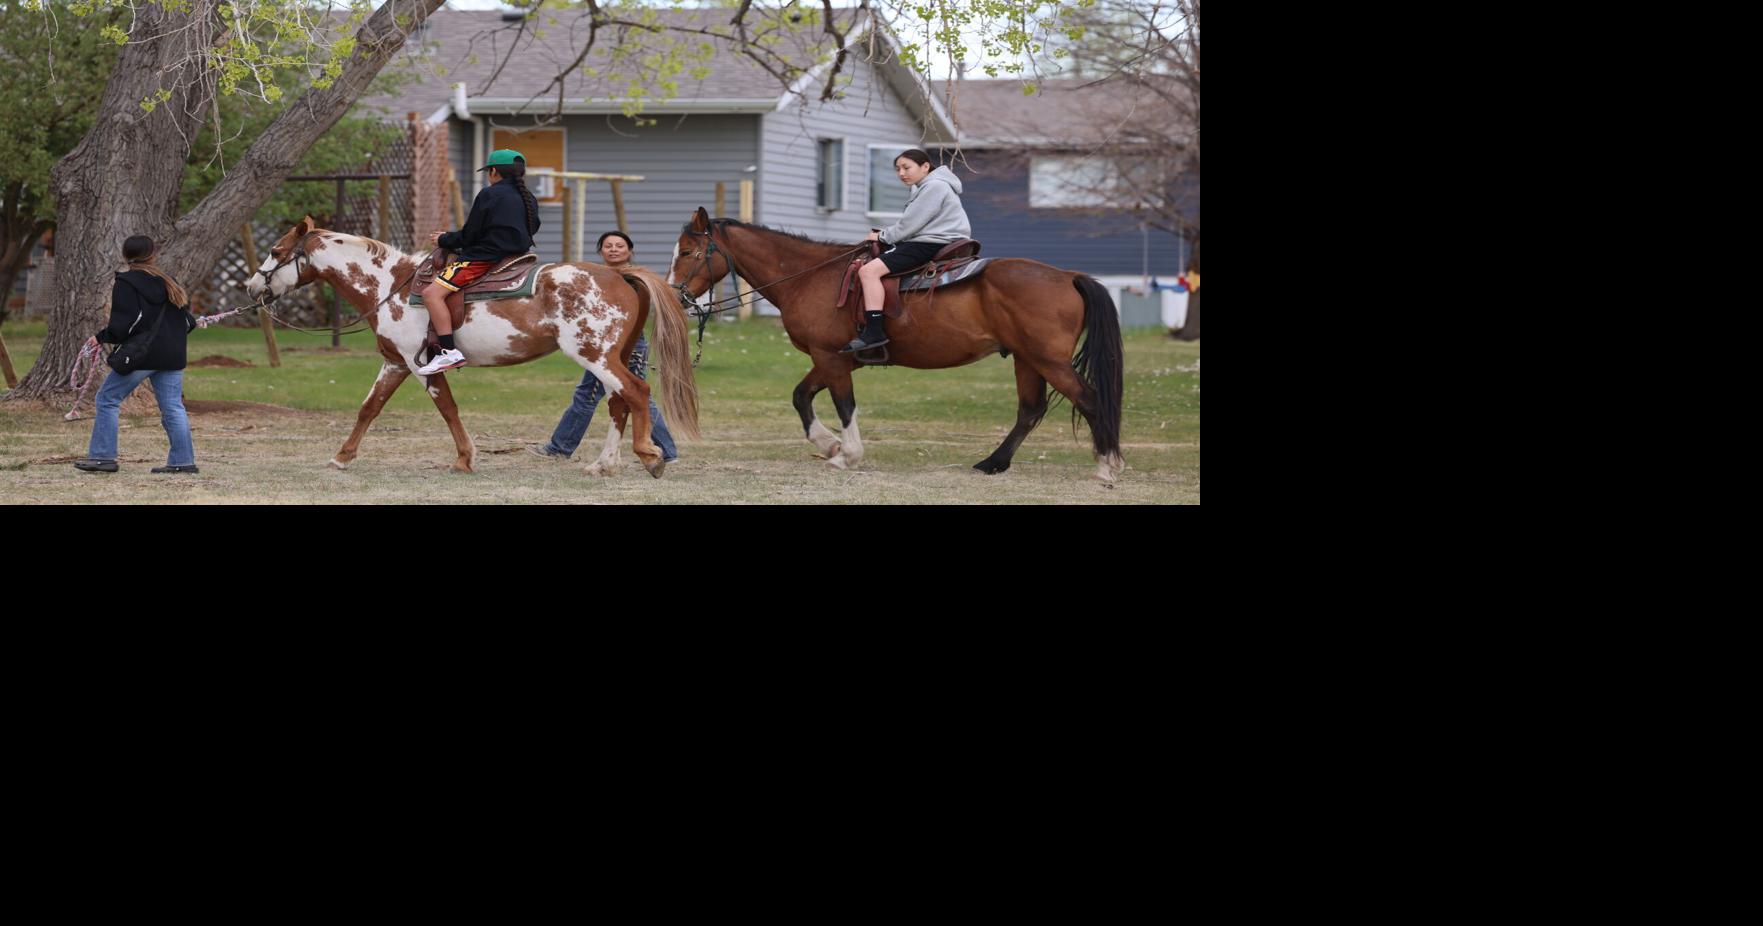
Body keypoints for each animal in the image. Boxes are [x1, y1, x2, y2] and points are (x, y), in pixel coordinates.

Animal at [243, 216, 698, 476]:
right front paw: (342, 456)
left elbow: (447, 408)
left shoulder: (419, 363)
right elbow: (369, 409)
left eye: (275, 250)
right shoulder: (395, 363)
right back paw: (604, 464)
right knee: (620, 402)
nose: (250, 286)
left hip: (597, 356)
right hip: (608, 358)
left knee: (635, 393)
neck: (390, 285)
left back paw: (648, 456)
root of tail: (620, 275)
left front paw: (464, 459)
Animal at [666, 207, 1125, 481]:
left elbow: (844, 406)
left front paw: (846, 454)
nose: (676, 295)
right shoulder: (835, 359)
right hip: (1028, 360)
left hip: (1049, 361)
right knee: (1030, 410)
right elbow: (801, 397)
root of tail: (1066, 275)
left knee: (1089, 399)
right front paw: (829, 445)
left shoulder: (831, 359)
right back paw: (994, 463)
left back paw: (1106, 465)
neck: (809, 276)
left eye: (688, 252)